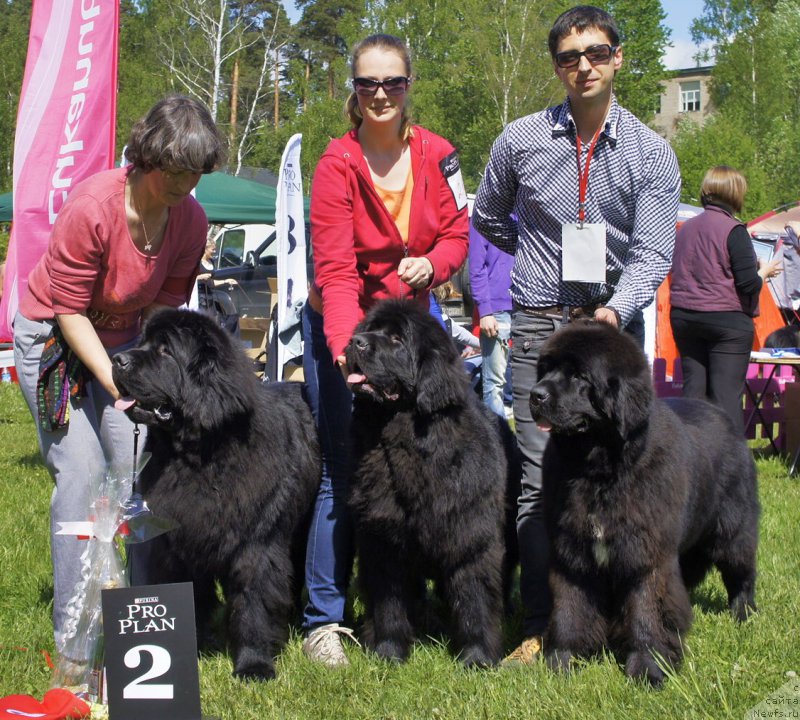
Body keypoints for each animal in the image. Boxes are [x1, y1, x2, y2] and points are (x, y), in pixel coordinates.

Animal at [110, 310, 322, 680]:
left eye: (165, 350)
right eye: (143, 343)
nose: (117, 360)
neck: (199, 457)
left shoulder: (256, 546)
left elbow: (253, 603)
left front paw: (254, 665)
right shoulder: (176, 543)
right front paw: (187, 649)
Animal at [342, 300, 520, 668]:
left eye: (397, 339)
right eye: (370, 328)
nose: (355, 342)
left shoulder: (470, 535)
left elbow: (474, 598)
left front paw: (476, 657)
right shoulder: (382, 539)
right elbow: (389, 604)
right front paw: (389, 652)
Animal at [528, 320, 760, 688]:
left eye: (579, 376)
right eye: (546, 369)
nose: (535, 394)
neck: (600, 472)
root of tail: (722, 415)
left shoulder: (646, 553)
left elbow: (646, 610)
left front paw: (650, 667)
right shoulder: (572, 551)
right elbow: (570, 607)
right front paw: (562, 661)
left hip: (733, 528)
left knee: (741, 572)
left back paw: (743, 614)